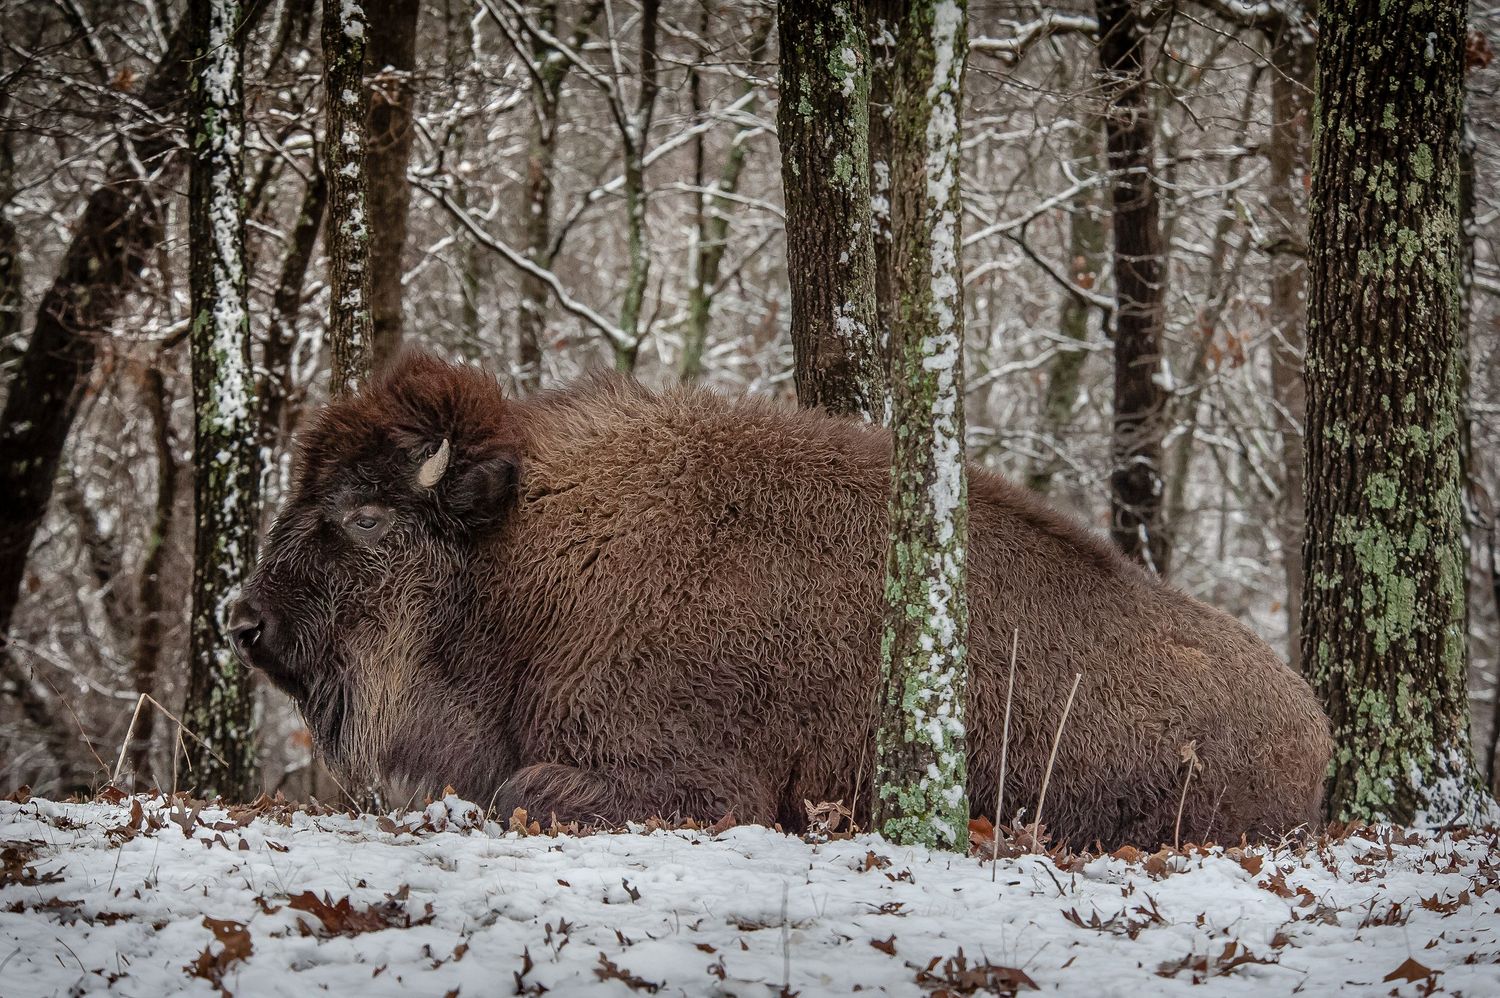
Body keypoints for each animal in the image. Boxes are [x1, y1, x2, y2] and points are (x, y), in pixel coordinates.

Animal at [231, 352, 1331, 847]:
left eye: (365, 515)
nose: (243, 620)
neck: (519, 555)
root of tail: (1313, 722)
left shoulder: (693, 783)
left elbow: (518, 793)